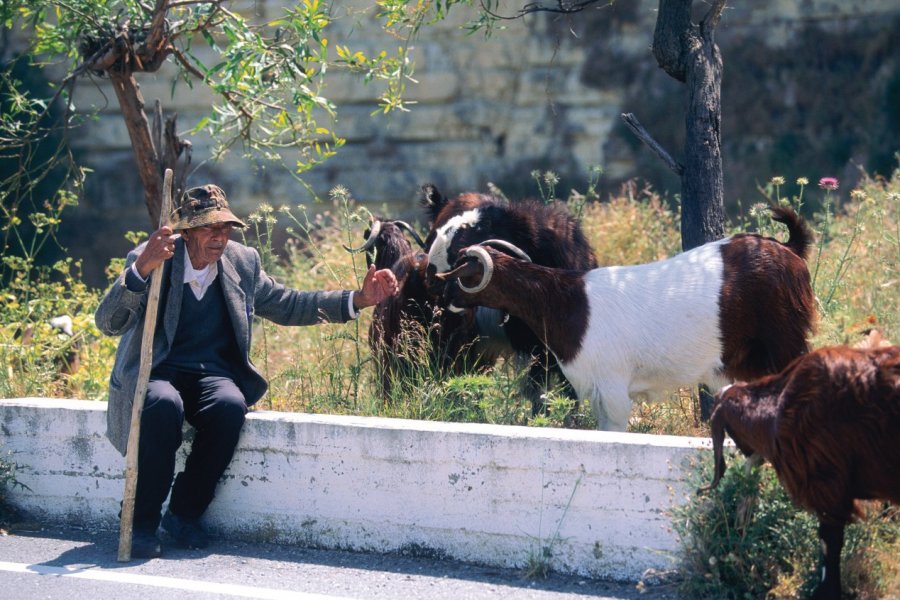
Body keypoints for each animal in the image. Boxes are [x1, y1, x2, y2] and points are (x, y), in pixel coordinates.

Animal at [432, 206, 820, 432]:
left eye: (462, 270)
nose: (441, 295)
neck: (566, 301)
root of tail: (789, 249)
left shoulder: (613, 387)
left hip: (786, 339)